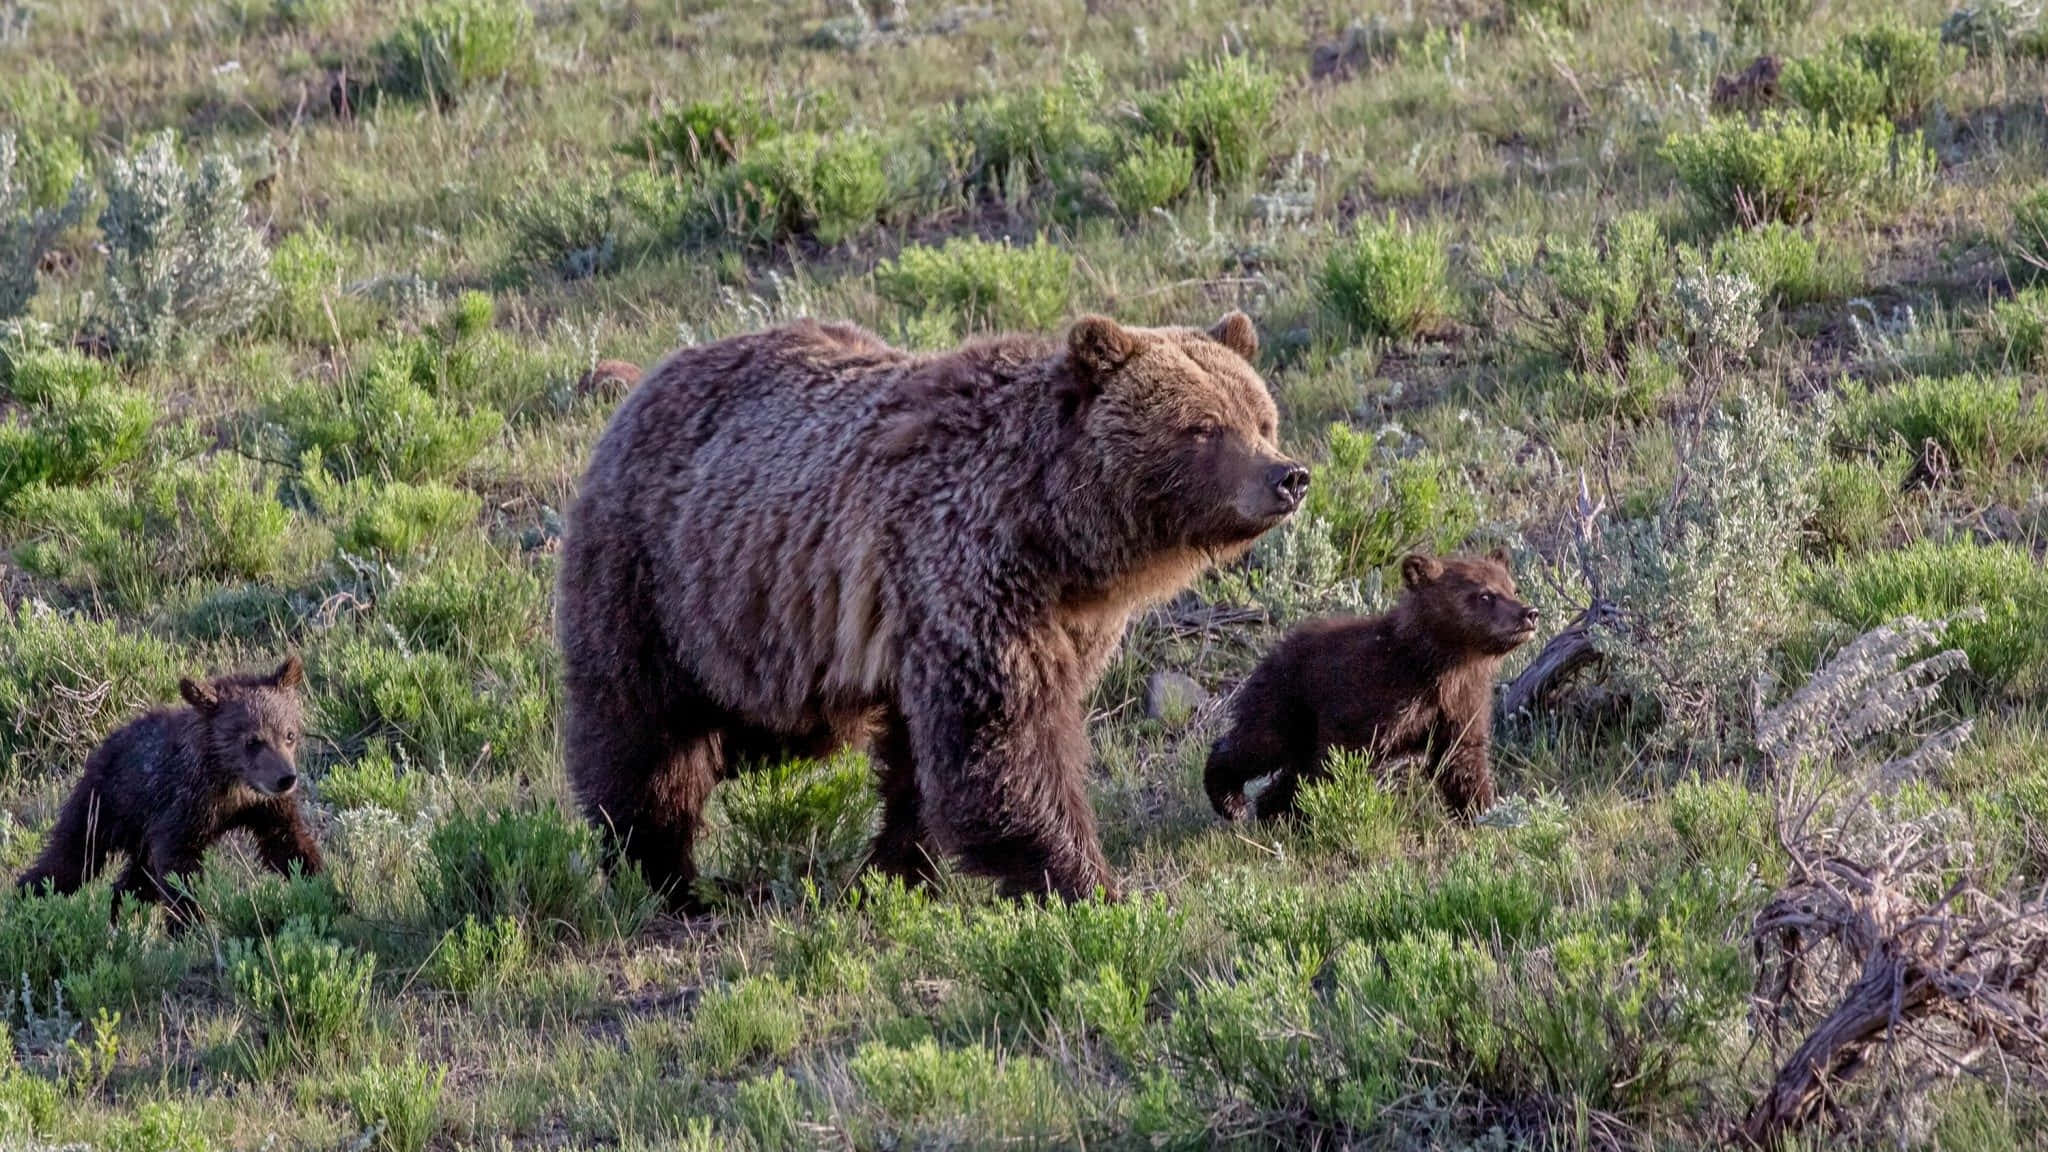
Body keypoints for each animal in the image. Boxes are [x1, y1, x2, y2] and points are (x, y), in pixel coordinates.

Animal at [15, 656, 320, 924]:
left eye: (289, 734)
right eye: (252, 741)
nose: (285, 778)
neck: (229, 782)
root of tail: (103, 745)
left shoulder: (262, 806)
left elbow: (286, 843)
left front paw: (317, 877)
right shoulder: (181, 806)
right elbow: (178, 868)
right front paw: (190, 923)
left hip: (138, 831)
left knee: (135, 880)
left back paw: (118, 912)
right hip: (105, 803)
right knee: (71, 858)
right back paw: (26, 898)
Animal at [555, 311, 1307, 908]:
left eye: (1261, 417)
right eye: (1202, 427)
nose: (1288, 476)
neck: (1057, 536)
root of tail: (649, 382)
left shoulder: (1062, 621)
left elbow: (926, 764)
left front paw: (893, 871)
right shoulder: (967, 571)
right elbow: (1004, 741)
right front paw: (1088, 882)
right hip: (660, 577)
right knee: (643, 732)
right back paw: (671, 876)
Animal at [1204, 550, 1538, 822]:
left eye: (1513, 587)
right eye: (1484, 595)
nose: (1529, 613)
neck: (1442, 663)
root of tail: (1273, 649)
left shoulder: (1462, 704)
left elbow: (1464, 760)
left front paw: (1482, 812)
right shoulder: (1370, 696)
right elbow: (1338, 760)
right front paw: (1325, 808)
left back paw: (1271, 810)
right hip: (1287, 698)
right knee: (1258, 742)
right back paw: (1232, 800)